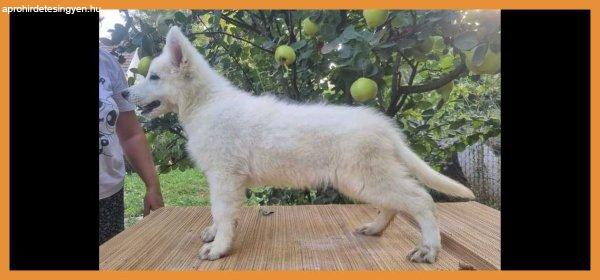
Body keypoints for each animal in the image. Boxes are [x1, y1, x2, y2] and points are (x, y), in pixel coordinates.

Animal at [122, 26, 476, 264]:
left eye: (154, 77)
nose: (124, 94)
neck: (205, 104)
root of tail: (383, 126)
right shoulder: (224, 178)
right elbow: (221, 213)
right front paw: (215, 233)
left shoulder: (224, 175)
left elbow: (221, 210)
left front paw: (219, 247)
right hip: (365, 178)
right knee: (393, 204)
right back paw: (376, 228)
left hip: (363, 176)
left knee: (420, 200)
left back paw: (429, 248)